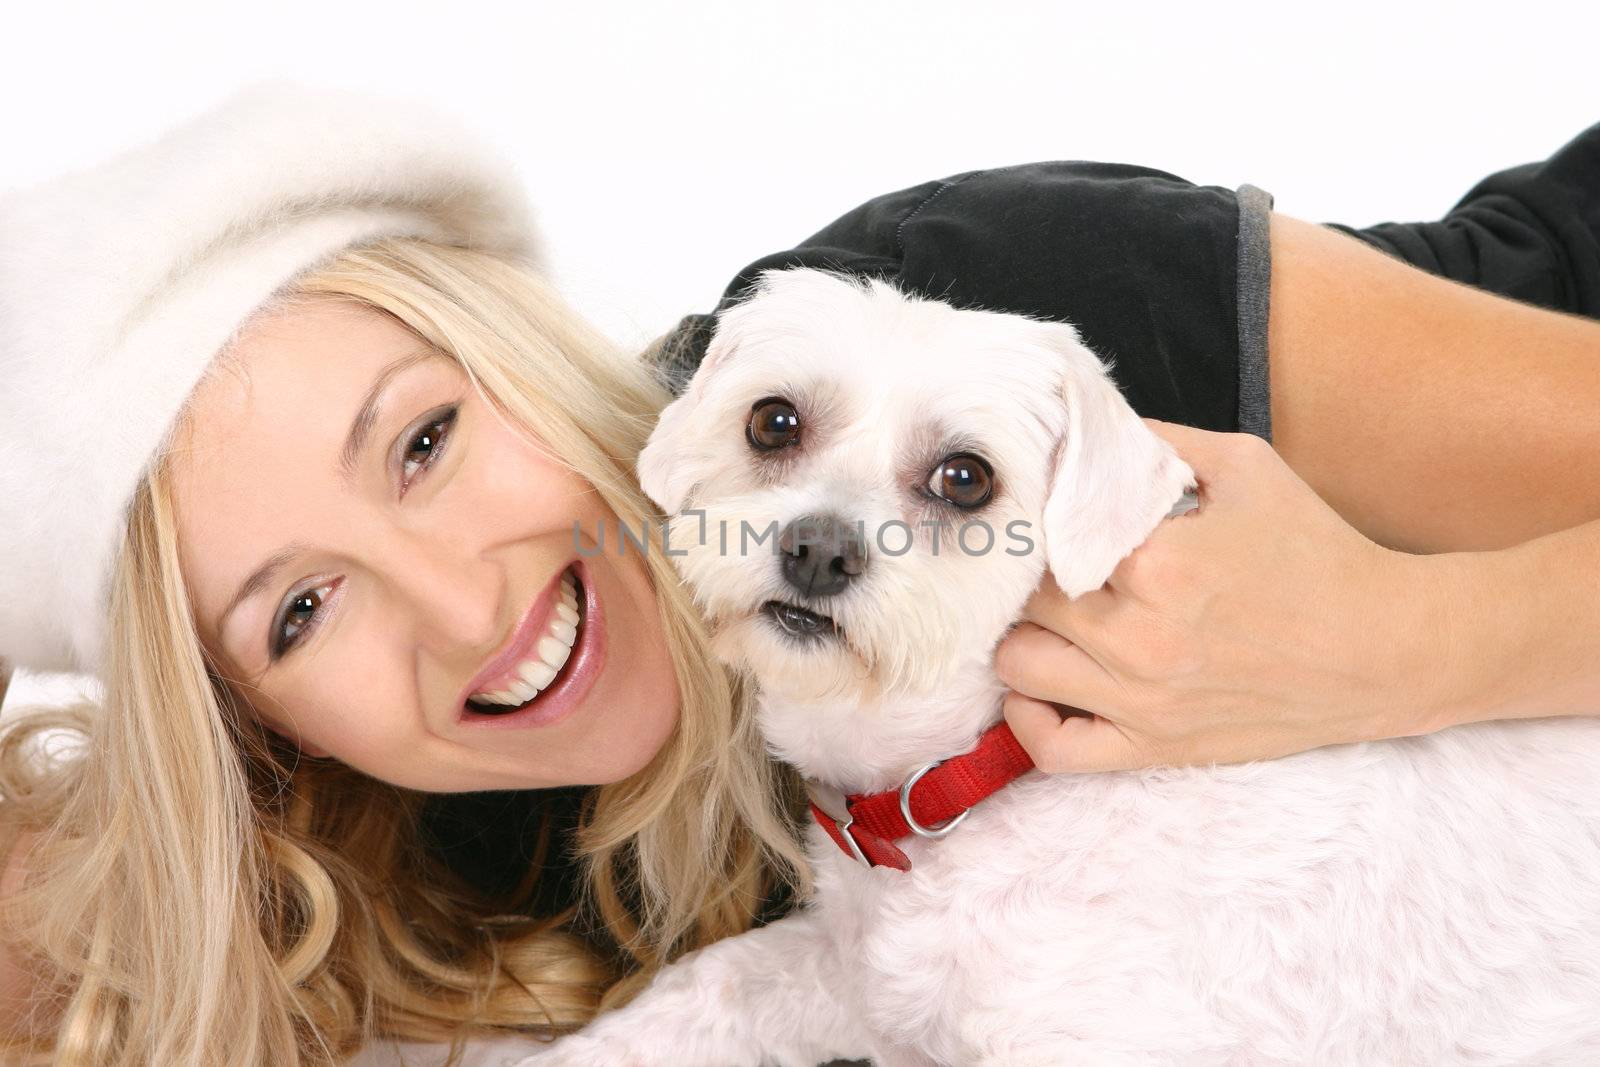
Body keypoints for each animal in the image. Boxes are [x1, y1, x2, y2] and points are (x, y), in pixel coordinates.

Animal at [518, 268, 1600, 1067]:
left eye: (965, 477)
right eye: (772, 421)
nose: (818, 550)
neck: (973, 772)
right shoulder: (849, 971)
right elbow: (707, 984)